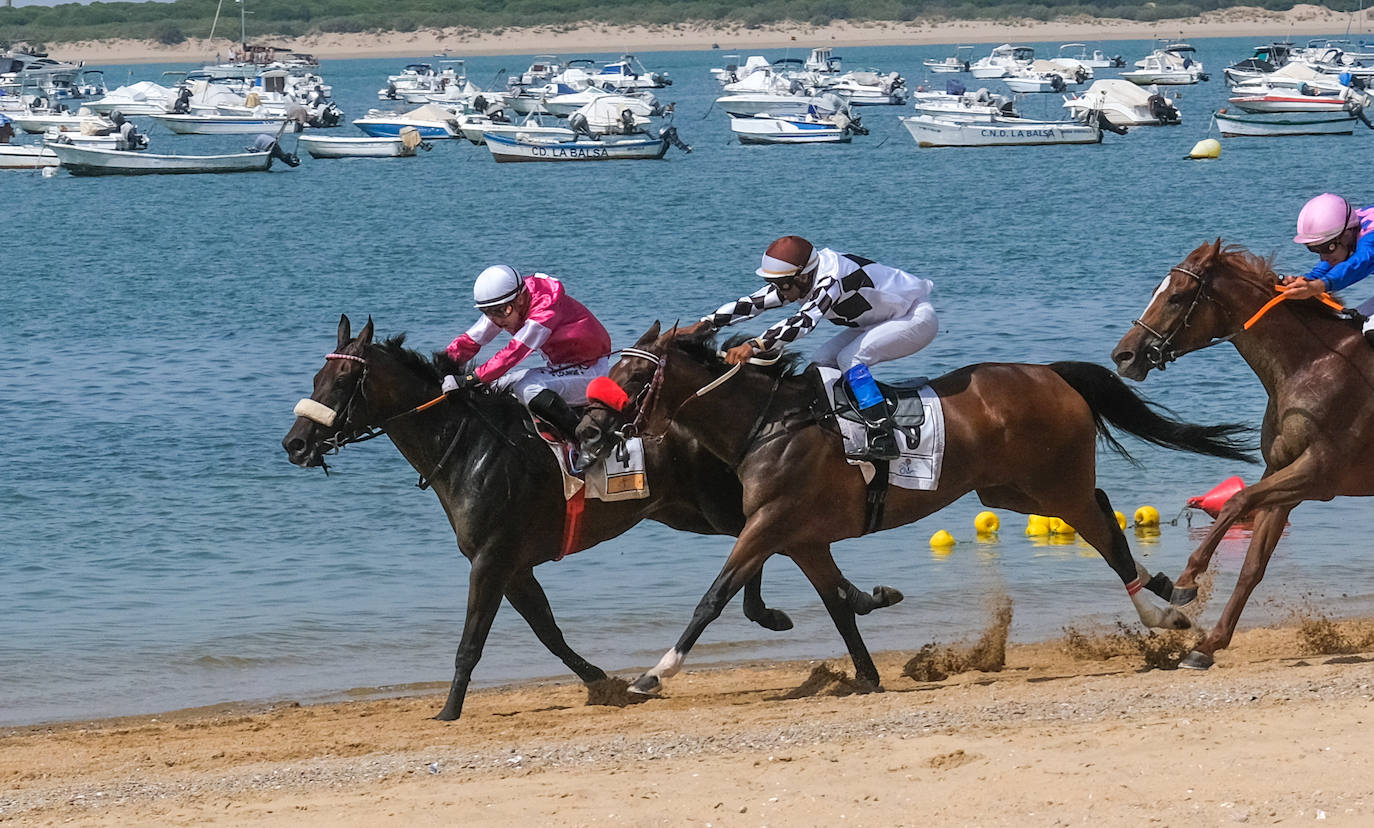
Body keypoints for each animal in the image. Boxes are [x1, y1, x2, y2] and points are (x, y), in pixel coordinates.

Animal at [281, 315, 902, 719]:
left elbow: (471, 640)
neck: (470, 445)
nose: (294, 443)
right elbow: (548, 632)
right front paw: (603, 683)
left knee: (768, 546)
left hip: (713, 506)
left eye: (342, 382)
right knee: (781, 549)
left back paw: (809, 607)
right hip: (689, 511)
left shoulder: (491, 558)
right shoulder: (514, 565)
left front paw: (448, 710)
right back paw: (856, 601)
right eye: (315, 379)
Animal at [576, 322, 1254, 694]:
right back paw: (1168, 589)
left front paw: (652, 674)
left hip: (1049, 484)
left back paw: (1161, 613)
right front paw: (867, 668)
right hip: (1008, 490)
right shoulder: (800, 537)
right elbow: (837, 604)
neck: (767, 424)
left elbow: (713, 598)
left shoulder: (768, 525)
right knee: (1104, 507)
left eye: (632, 380)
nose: (583, 432)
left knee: (1103, 531)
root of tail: (1050, 372)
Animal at [1112, 239, 1374, 669]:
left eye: (1177, 296)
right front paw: (1206, 646)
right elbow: (1253, 565)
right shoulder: (1284, 477)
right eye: (1156, 289)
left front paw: (1186, 581)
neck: (1308, 366)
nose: (1124, 355)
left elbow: (1236, 501)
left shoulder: (1319, 473)